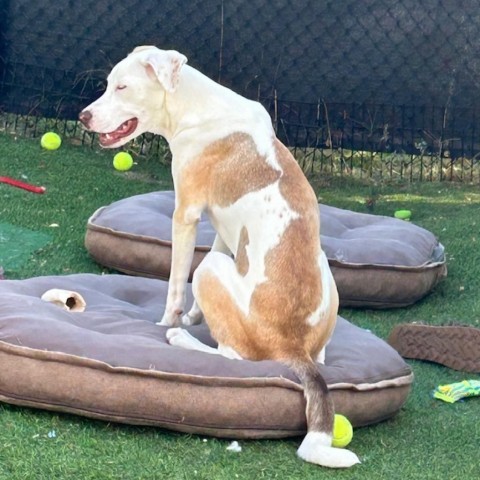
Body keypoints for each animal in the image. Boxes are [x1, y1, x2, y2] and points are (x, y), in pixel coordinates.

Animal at [79, 46, 360, 468]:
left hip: (210, 272)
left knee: (233, 358)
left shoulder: (185, 214)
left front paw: (168, 322)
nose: (83, 116)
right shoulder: (223, 234)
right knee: (318, 356)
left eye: (123, 87)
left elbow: (175, 285)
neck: (196, 106)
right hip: (324, 272)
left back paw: (180, 338)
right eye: (109, 84)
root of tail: (293, 348)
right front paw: (196, 316)